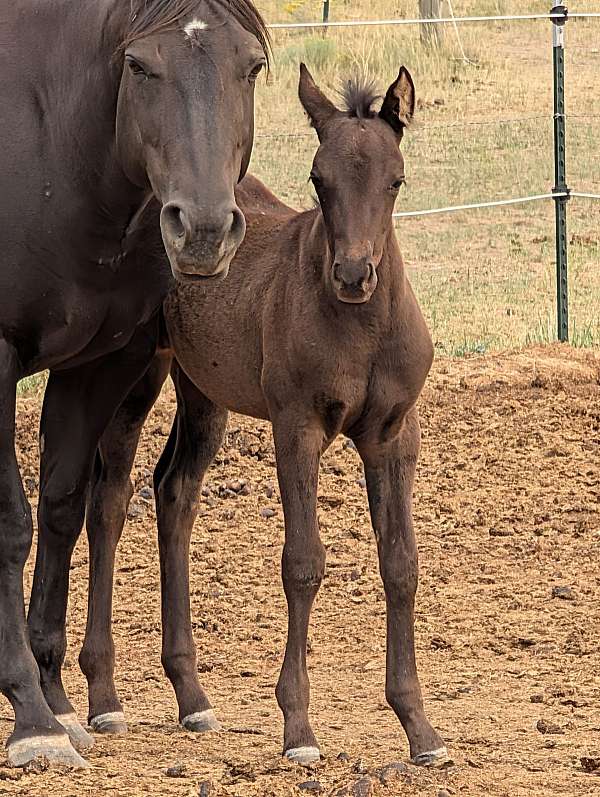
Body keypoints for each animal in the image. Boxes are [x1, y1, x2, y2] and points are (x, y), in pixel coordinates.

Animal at [1, 0, 269, 768]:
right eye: (139, 66)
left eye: (252, 65)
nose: (203, 229)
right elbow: (13, 522)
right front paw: (30, 715)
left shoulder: (100, 366)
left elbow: (63, 507)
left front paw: (57, 699)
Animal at [77, 63, 449, 768]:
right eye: (319, 179)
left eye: (395, 179)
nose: (353, 275)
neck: (361, 329)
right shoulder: (296, 427)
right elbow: (303, 563)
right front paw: (298, 729)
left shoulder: (393, 435)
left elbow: (402, 564)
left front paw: (421, 729)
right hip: (136, 374)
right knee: (109, 502)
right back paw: (104, 698)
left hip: (203, 391)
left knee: (174, 494)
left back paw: (192, 697)